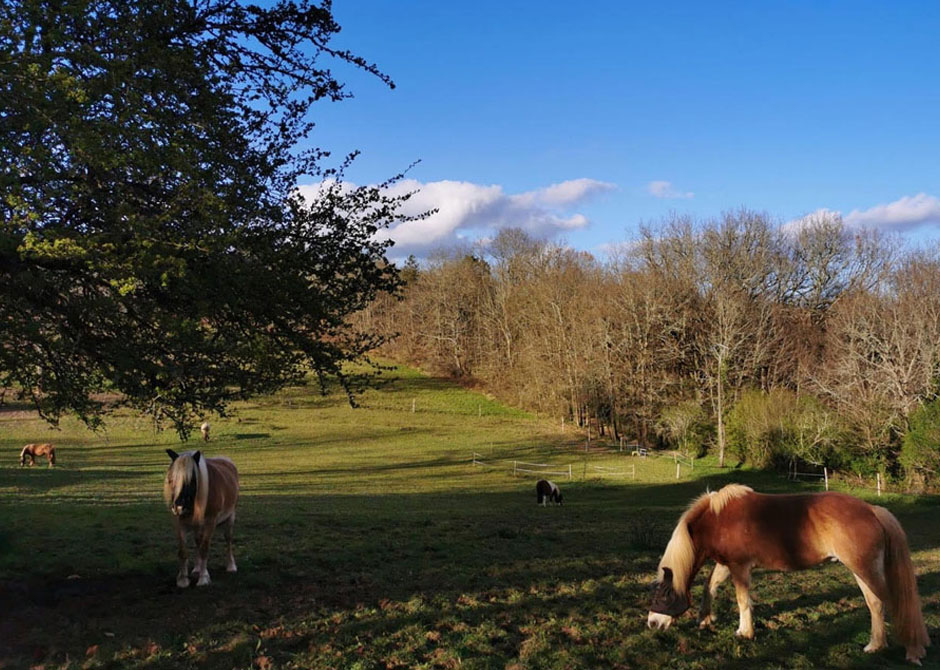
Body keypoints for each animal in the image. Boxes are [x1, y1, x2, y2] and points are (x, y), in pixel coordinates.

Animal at [164, 452, 241, 588]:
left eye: (192, 480)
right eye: (171, 479)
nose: (178, 507)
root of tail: (225, 460)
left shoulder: (210, 522)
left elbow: (204, 549)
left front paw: (203, 578)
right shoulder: (180, 524)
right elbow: (183, 551)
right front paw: (183, 580)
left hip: (230, 517)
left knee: (228, 540)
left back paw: (231, 566)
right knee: (198, 542)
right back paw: (197, 568)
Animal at [648, 484, 928, 668]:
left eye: (663, 595)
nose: (652, 623)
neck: (717, 519)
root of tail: (871, 510)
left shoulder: (739, 566)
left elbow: (742, 600)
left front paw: (744, 632)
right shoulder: (726, 564)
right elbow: (710, 586)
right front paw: (705, 619)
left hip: (865, 569)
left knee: (895, 605)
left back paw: (913, 652)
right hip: (861, 571)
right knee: (875, 604)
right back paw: (874, 646)